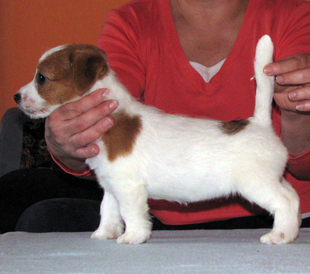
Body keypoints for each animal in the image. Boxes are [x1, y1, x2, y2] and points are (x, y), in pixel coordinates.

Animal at [13, 35, 300, 245]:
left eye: (41, 78)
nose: (16, 96)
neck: (114, 117)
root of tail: (259, 122)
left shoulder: (128, 187)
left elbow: (131, 213)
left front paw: (132, 237)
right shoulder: (110, 185)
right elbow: (108, 210)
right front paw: (105, 234)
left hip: (255, 184)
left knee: (283, 202)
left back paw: (280, 236)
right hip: (272, 179)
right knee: (293, 197)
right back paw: (293, 230)